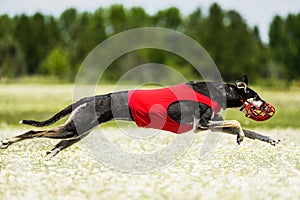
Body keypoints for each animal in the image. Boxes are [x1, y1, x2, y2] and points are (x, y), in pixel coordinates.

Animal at [0, 75, 278, 159]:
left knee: (54, 146)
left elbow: (251, 131)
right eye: (256, 96)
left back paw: (47, 159)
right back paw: (7, 141)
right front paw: (240, 137)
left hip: (78, 132)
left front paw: (270, 139)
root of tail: (88, 98)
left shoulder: (212, 125)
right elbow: (238, 122)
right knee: (32, 132)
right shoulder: (203, 124)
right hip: (73, 130)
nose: (267, 105)